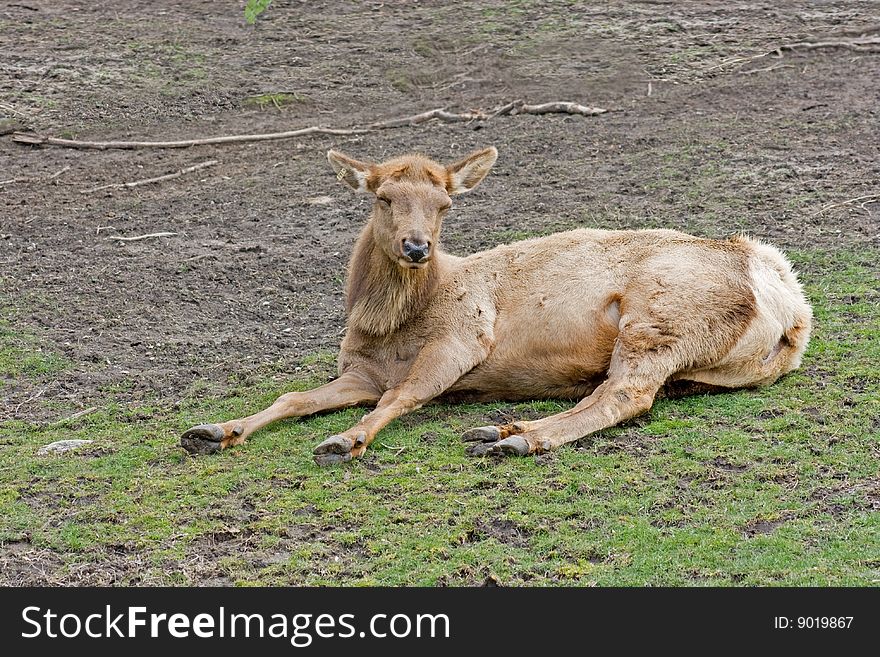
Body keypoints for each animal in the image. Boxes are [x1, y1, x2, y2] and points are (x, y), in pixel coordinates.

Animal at [179, 147, 812, 466]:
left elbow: (402, 396)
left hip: (662, 316)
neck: (386, 326)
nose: (417, 247)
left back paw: (511, 438)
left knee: (627, 395)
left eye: (444, 204)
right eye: (383, 197)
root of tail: (792, 307)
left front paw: (345, 440)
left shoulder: (462, 337)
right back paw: (504, 429)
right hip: (695, 359)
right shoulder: (359, 371)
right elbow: (294, 398)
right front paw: (213, 430)